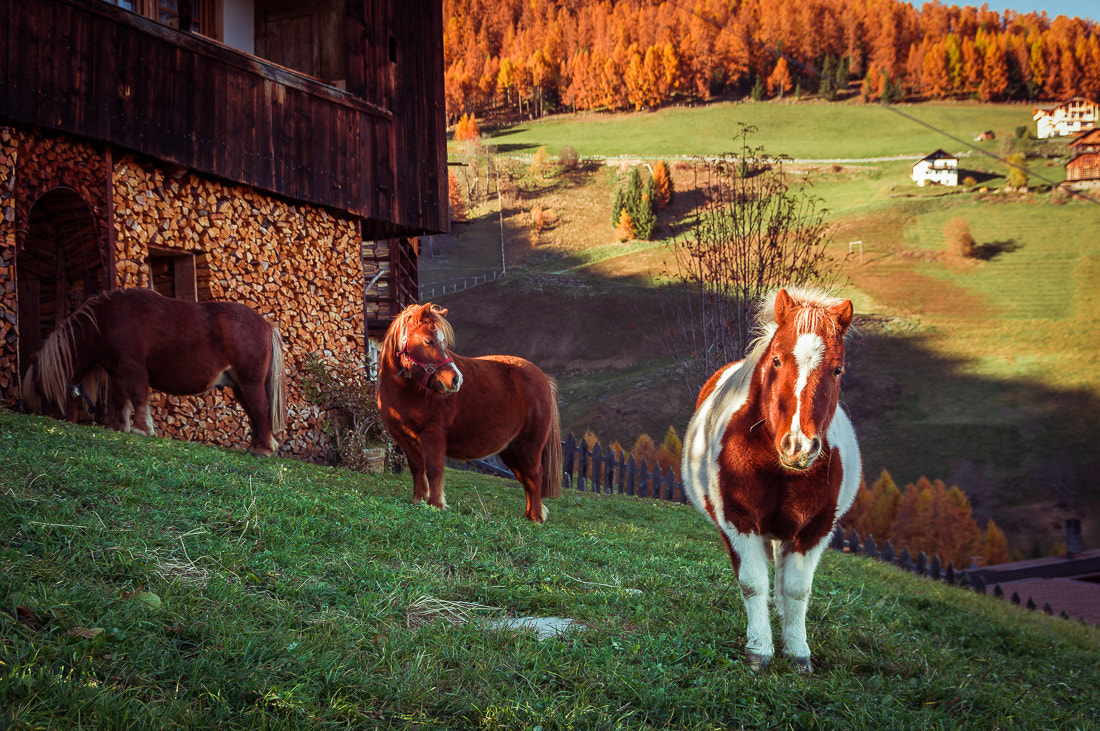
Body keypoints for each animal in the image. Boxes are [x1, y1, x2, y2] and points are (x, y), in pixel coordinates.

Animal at [20, 285, 288, 452]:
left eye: (39, 388)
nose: (53, 420)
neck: (107, 320)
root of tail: (266, 324)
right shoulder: (116, 372)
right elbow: (120, 399)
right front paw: (119, 427)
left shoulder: (133, 368)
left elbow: (138, 396)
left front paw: (141, 429)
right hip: (239, 386)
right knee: (254, 414)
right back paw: (256, 446)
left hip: (249, 382)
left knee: (261, 409)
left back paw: (264, 450)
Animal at [380, 301, 567, 518]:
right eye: (428, 341)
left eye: (444, 343)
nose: (455, 380)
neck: (409, 390)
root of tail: (544, 378)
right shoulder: (403, 437)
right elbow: (417, 468)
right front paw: (418, 500)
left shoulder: (433, 435)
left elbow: (434, 470)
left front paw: (436, 505)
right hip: (511, 449)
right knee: (527, 479)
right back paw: (529, 516)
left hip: (529, 444)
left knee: (535, 475)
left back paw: (536, 518)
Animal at [682, 285, 862, 672]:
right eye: (777, 360)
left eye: (838, 370)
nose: (798, 445)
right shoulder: (739, 521)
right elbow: (752, 583)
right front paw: (759, 650)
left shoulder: (814, 530)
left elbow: (796, 590)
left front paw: (797, 652)